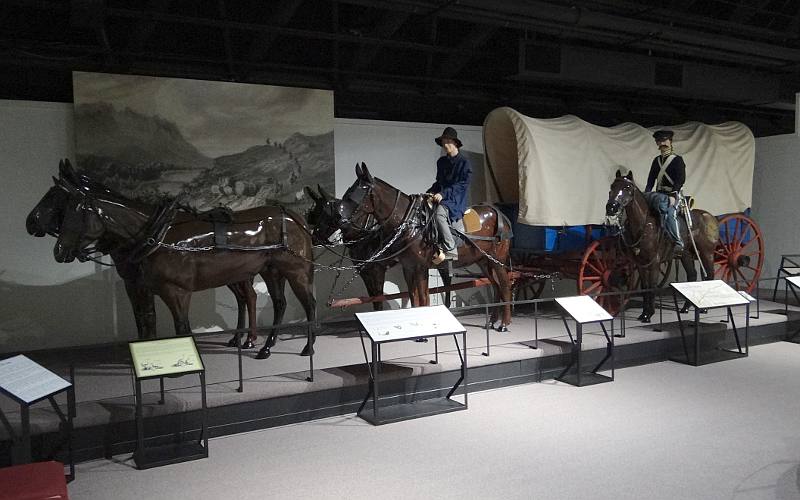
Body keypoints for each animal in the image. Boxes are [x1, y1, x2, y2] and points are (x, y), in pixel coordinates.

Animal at [25, 162, 255, 342]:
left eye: (56, 196)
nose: (30, 222)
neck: (153, 235)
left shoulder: (168, 290)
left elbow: (175, 325)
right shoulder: (137, 285)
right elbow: (144, 319)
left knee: (249, 297)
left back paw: (249, 341)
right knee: (244, 298)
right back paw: (239, 339)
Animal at [49, 167, 318, 360]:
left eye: (76, 212)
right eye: (62, 206)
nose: (59, 251)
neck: (157, 235)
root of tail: (295, 218)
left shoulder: (176, 291)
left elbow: (181, 327)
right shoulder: (142, 287)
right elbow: (146, 320)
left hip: (295, 271)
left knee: (308, 303)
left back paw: (308, 346)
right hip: (271, 271)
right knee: (279, 303)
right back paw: (266, 347)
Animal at [304, 184, 450, 308]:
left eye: (325, 213)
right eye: (314, 213)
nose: (314, 238)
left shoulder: (377, 270)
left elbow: (378, 298)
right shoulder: (365, 272)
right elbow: (373, 299)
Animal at [608, 170, 720, 322]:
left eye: (627, 187)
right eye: (612, 186)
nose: (611, 207)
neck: (644, 225)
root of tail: (710, 217)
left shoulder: (654, 263)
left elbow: (652, 286)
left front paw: (649, 314)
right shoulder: (641, 264)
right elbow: (645, 287)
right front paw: (644, 313)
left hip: (706, 254)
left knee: (709, 275)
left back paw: (705, 308)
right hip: (686, 255)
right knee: (692, 276)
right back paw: (686, 307)